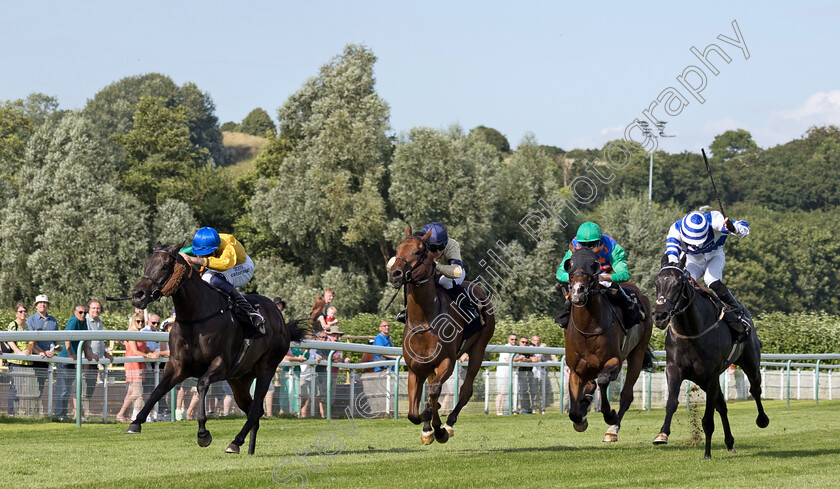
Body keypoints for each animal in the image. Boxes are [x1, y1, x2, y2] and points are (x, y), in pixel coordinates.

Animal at [128, 243, 306, 454]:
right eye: (146, 264)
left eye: (164, 266)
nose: (137, 295)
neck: (195, 317)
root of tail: (281, 320)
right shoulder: (177, 365)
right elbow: (158, 390)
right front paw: (136, 422)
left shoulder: (222, 363)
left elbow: (201, 384)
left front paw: (203, 433)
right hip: (239, 380)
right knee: (253, 410)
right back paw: (249, 448)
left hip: (267, 368)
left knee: (255, 409)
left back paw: (235, 442)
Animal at [386, 227, 496, 444]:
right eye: (398, 248)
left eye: (419, 251)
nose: (394, 273)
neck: (424, 321)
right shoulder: (415, 368)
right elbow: (413, 413)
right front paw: (427, 427)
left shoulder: (447, 361)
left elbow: (435, 392)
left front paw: (439, 430)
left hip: (478, 348)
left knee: (465, 390)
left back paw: (449, 424)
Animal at [564, 248, 656, 442]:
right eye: (570, 264)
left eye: (594, 266)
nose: (577, 291)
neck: (588, 330)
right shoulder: (575, 369)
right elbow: (574, 411)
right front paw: (580, 418)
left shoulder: (614, 361)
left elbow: (604, 380)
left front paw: (610, 415)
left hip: (638, 352)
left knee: (626, 395)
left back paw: (612, 429)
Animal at [652, 252, 772, 458]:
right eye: (657, 282)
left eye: (678, 284)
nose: (660, 315)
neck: (692, 332)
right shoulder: (674, 369)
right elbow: (672, 402)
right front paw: (662, 434)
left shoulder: (711, 375)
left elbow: (708, 419)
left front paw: (707, 453)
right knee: (722, 406)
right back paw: (730, 442)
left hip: (750, 362)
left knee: (755, 389)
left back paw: (762, 419)